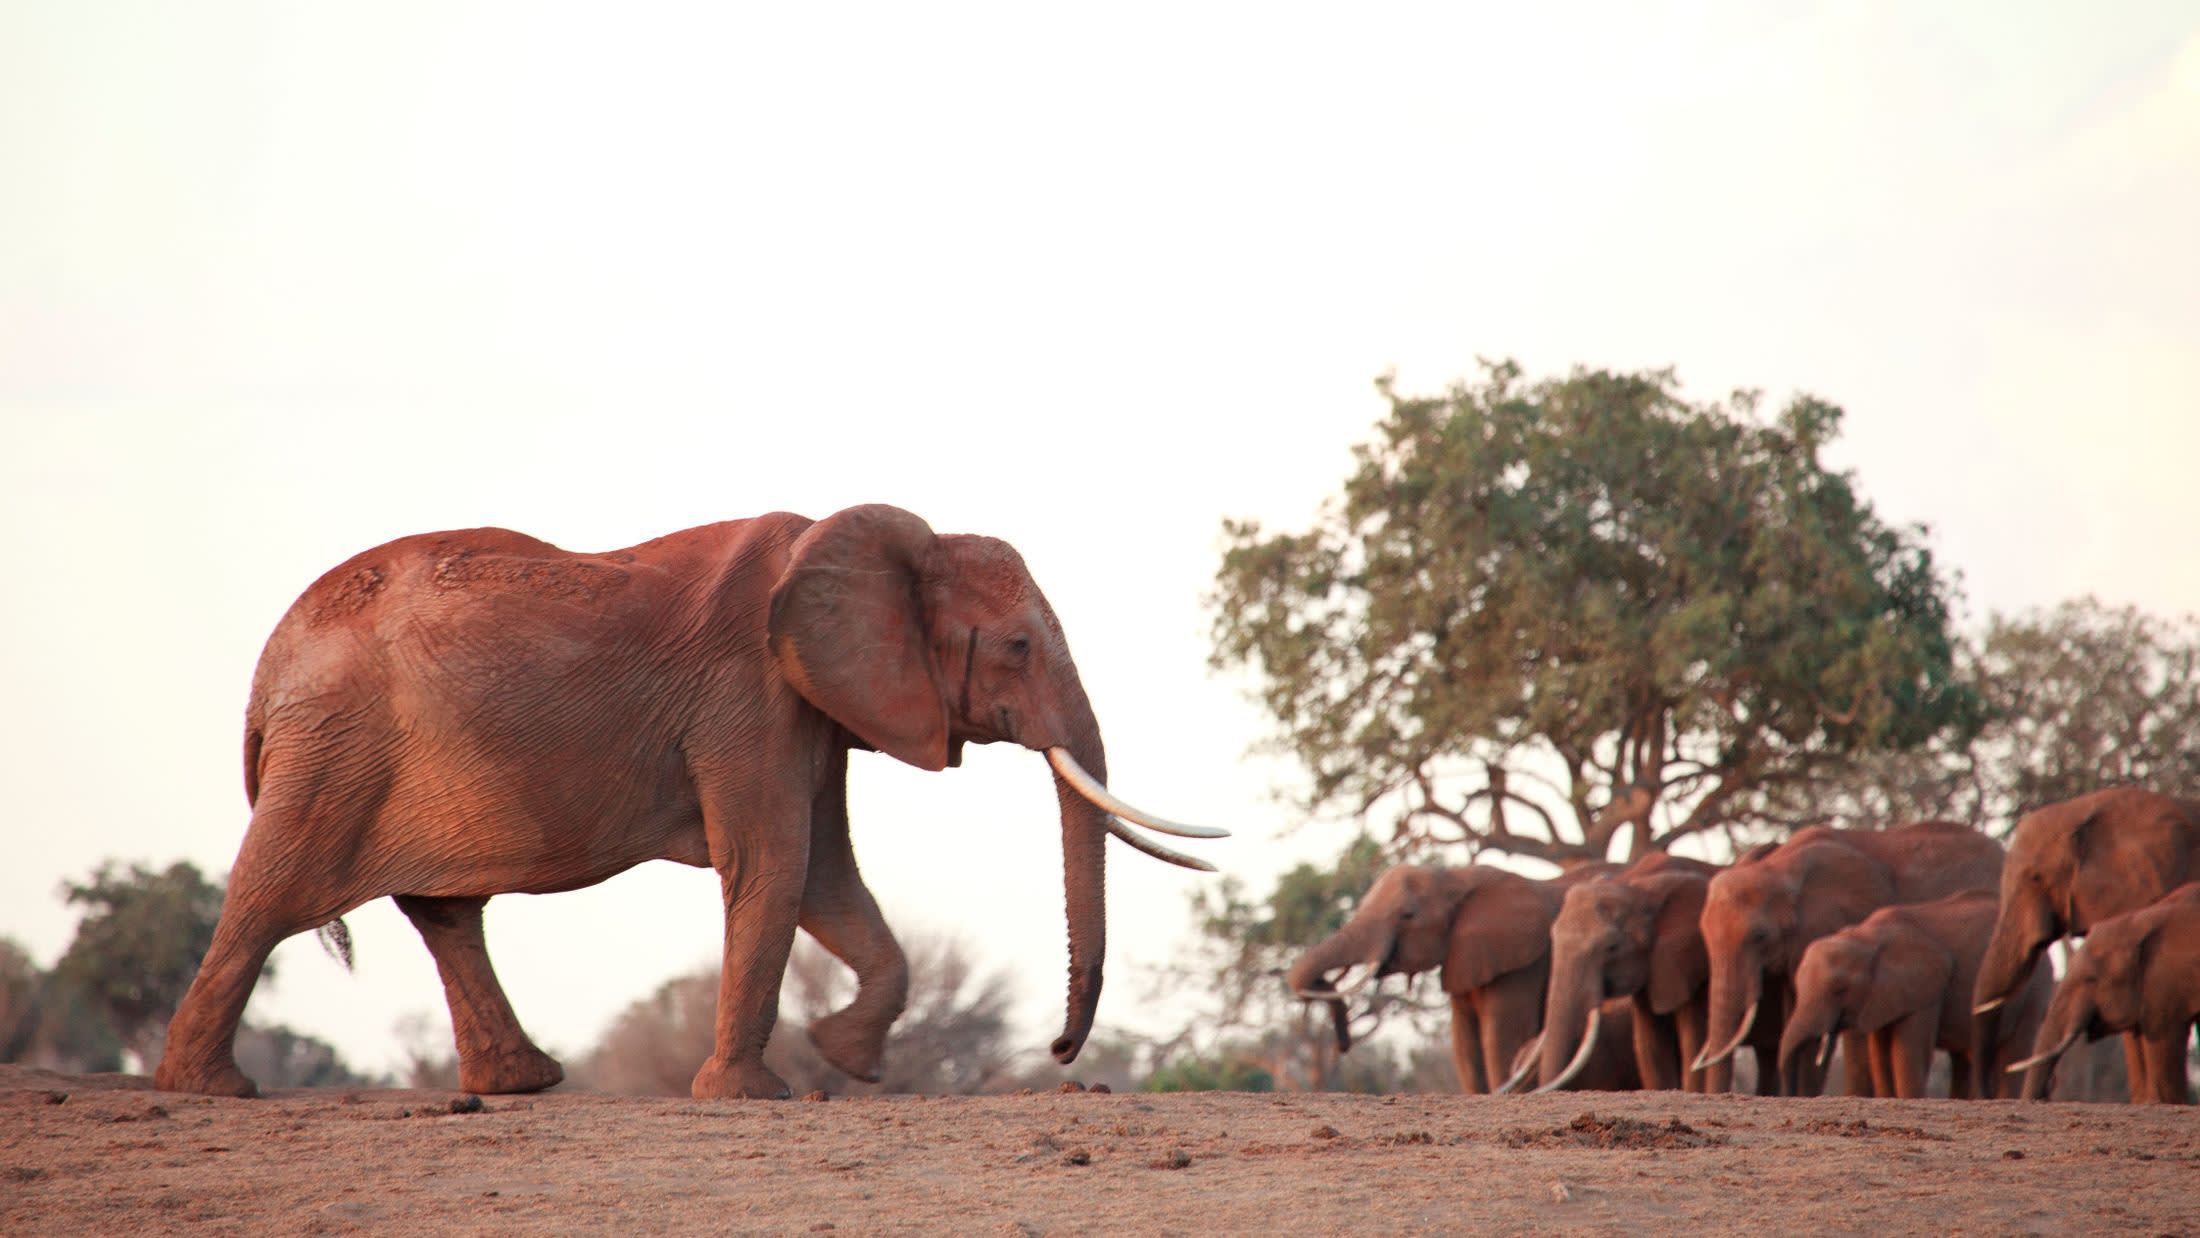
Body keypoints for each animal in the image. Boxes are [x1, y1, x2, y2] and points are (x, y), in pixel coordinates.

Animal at [153, 505, 1223, 1100]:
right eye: (1016, 647)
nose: (1062, 1050)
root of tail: (268, 668)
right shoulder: (749, 695)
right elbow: (778, 865)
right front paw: (765, 1093)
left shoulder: (809, 704)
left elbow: (827, 877)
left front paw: (848, 1059)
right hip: (334, 745)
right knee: (271, 893)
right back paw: (212, 1088)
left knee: (444, 912)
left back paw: (525, 1083)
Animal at [1285, 861, 1613, 1093]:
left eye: (1407, 916)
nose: (1342, 1045)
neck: (1456, 878)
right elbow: (1464, 1045)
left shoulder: (1522, 965)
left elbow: (1502, 1039)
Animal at [1777, 891, 2049, 1099]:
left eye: (1840, 990)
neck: (1866, 936)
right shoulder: (1881, 996)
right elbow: (1880, 1053)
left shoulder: (1925, 989)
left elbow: (1908, 1052)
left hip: (2034, 989)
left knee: (2013, 1053)